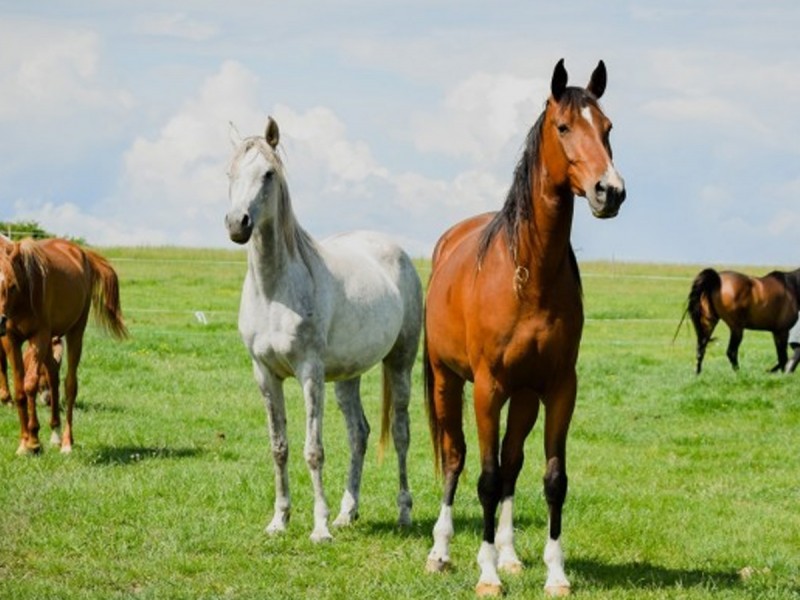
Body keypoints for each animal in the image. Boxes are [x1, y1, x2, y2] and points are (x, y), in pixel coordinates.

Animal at [0, 238, 128, 454]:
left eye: (12, 285)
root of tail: (82, 253)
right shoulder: (11, 339)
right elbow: (19, 390)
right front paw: (24, 443)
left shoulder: (39, 336)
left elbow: (30, 384)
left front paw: (34, 441)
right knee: (53, 376)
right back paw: (55, 432)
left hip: (75, 331)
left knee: (69, 386)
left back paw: (67, 442)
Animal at [224, 117, 423, 542]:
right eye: (230, 173)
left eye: (268, 174)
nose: (237, 224)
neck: (275, 291)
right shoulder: (265, 374)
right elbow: (279, 447)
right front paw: (279, 520)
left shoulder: (310, 373)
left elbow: (313, 451)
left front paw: (319, 528)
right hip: (348, 376)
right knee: (359, 434)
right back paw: (348, 513)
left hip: (400, 363)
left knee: (400, 432)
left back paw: (403, 512)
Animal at [423, 59, 625, 597]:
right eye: (564, 127)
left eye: (608, 128)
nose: (610, 191)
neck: (529, 273)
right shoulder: (488, 388)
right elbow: (486, 478)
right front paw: (487, 574)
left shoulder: (557, 387)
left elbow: (551, 478)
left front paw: (555, 573)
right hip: (447, 382)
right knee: (455, 457)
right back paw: (442, 551)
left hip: (525, 397)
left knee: (513, 463)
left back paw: (511, 555)